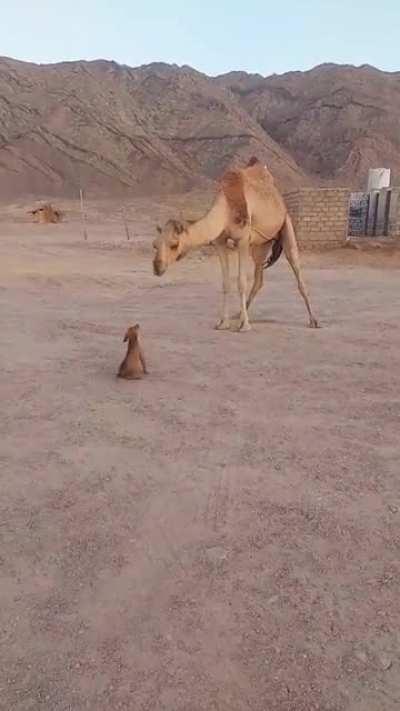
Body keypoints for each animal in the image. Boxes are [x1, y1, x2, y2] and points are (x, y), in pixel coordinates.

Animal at [153, 158, 318, 332]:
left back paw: (313, 320)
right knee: (258, 278)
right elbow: (226, 282)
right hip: (261, 244)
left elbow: (241, 282)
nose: (157, 267)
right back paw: (238, 315)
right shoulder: (220, 242)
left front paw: (245, 326)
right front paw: (223, 323)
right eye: (155, 245)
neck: (226, 207)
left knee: (296, 266)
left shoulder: (243, 240)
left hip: (286, 222)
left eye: (174, 244)